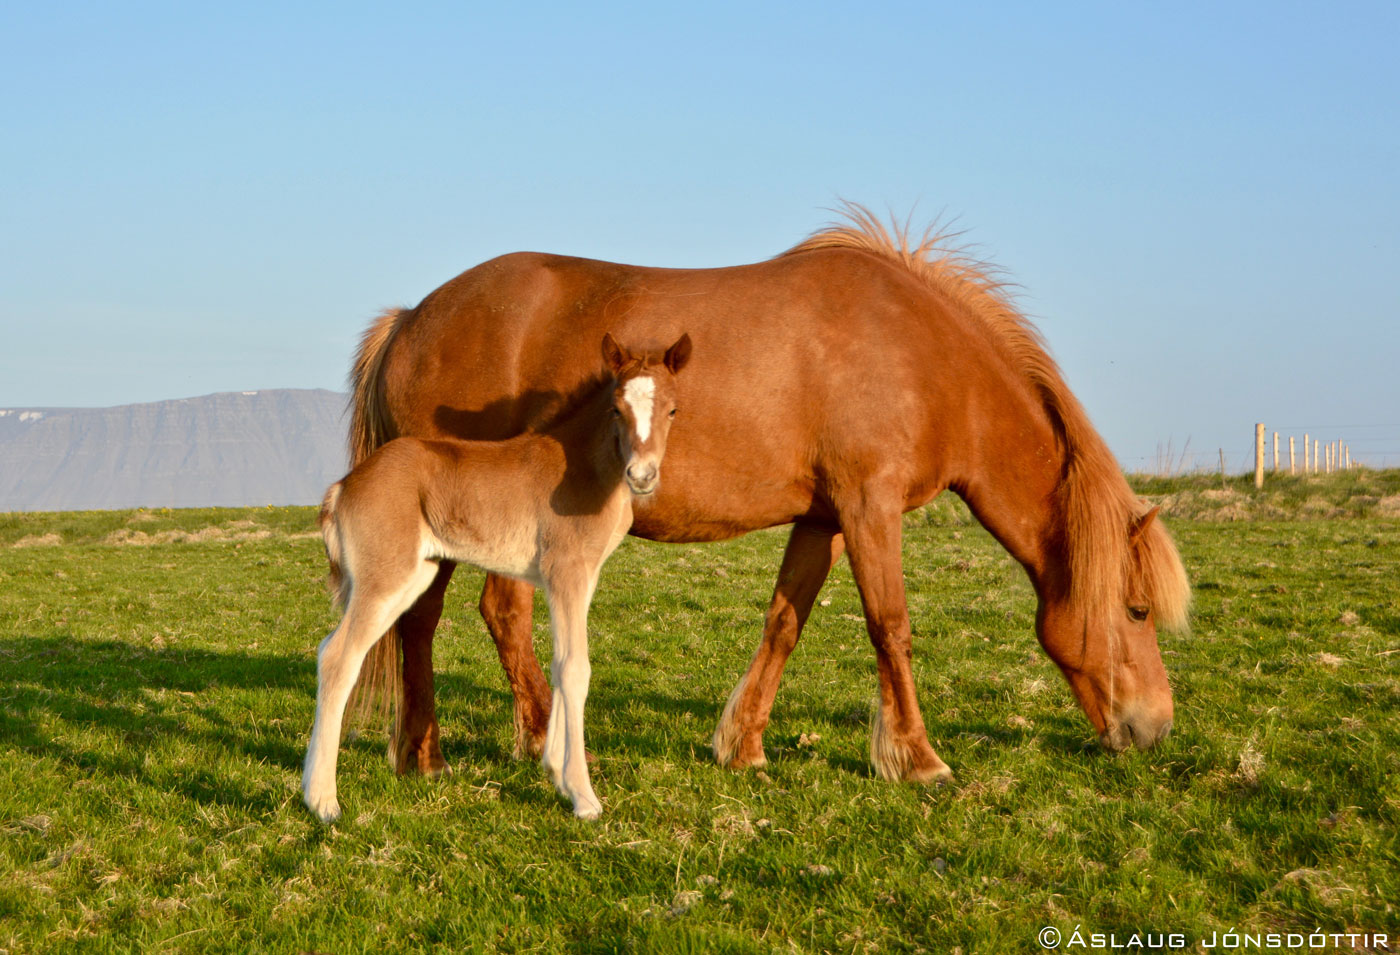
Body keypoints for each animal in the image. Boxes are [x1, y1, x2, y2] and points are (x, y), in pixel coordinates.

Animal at [303, 332, 693, 821]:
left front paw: (557, 774)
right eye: (616, 409)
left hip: (412, 577)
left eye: (673, 409)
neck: (583, 465)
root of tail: (343, 487)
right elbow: (575, 667)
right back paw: (322, 801)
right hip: (384, 580)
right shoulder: (567, 572)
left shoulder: (580, 579)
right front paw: (583, 795)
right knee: (339, 658)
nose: (642, 476)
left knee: (328, 649)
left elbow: (560, 662)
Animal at [343, 205, 1191, 786]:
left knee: (494, 614)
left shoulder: (824, 518)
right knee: (422, 621)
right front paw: (918, 759)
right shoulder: (871, 507)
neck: (924, 358)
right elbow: (891, 626)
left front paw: (743, 745)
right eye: (1136, 609)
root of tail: (412, 318)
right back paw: (436, 751)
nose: (1155, 727)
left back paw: (522, 739)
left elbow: (785, 621)